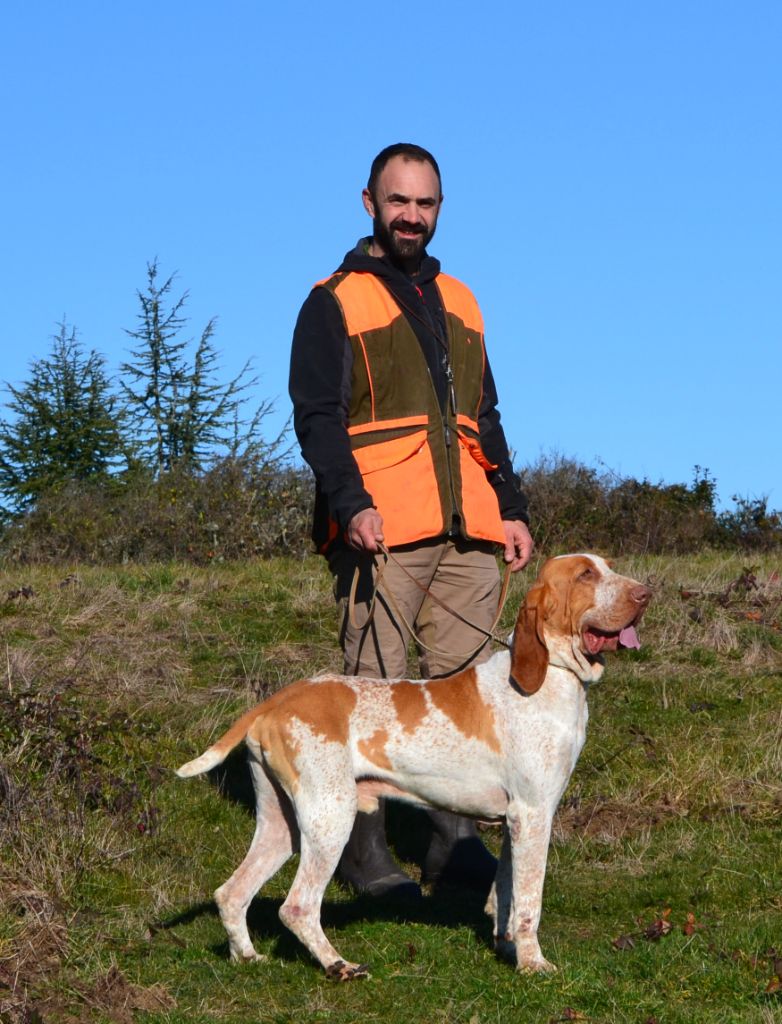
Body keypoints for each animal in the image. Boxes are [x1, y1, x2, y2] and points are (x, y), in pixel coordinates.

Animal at [180, 557, 650, 978]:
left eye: (607, 567)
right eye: (586, 574)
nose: (645, 593)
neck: (551, 674)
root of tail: (276, 700)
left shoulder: (514, 821)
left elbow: (504, 894)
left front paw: (506, 948)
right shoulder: (534, 816)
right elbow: (528, 904)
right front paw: (533, 964)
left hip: (282, 825)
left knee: (231, 893)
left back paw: (247, 956)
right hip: (331, 816)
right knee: (297, 906)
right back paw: (338, 965)